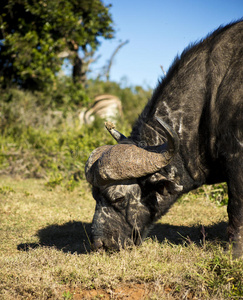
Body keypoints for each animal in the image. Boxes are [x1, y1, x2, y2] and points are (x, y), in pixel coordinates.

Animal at [84, 21, 242, 258]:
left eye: (118, 198)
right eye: (95, 196)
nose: (100, 244)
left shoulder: (237, 159)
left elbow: (236, 205)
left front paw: (235, 251)